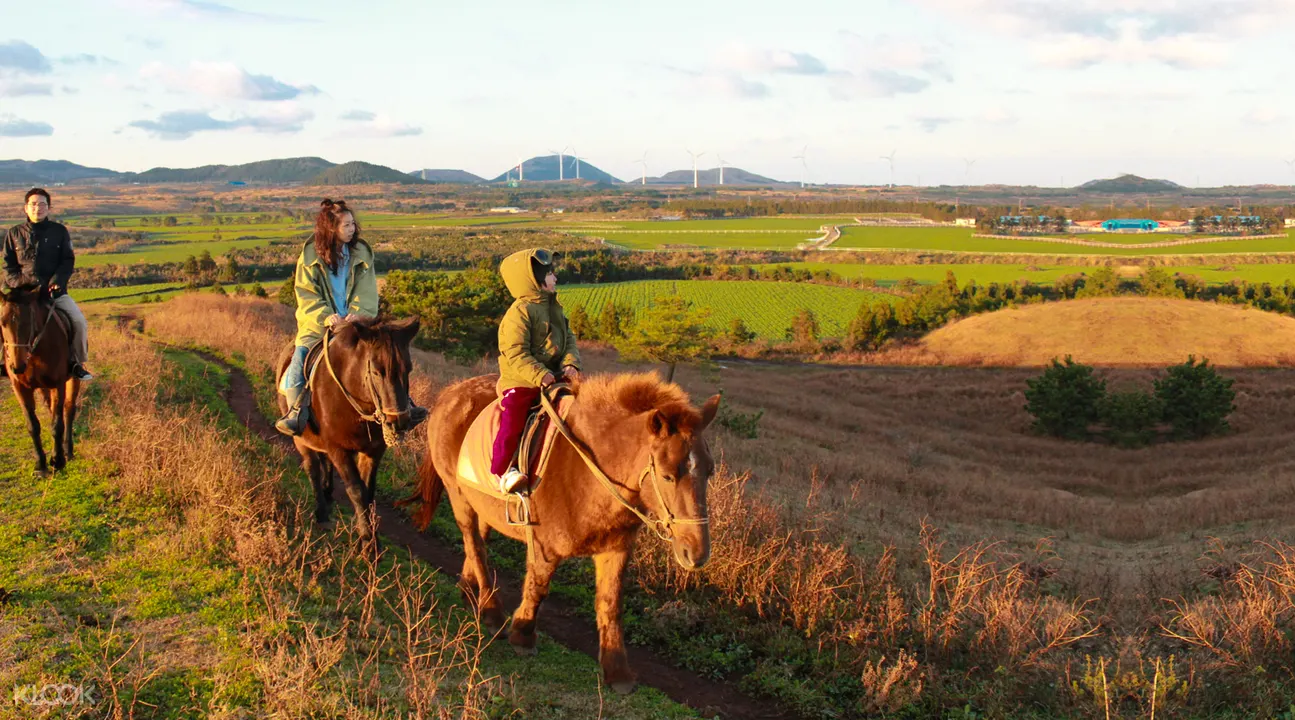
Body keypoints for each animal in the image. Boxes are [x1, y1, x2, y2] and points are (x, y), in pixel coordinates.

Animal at [0, 283, 81, 476]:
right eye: (2, 323)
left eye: (27, 322)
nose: (17, 366)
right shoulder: (20, 387)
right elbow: (32, 425)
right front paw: (40, 465)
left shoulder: (58, 384)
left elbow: (57, 423)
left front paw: (58, 461)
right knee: (50, 408)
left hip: (72, 379)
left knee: (68, 410)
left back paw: (67, 450)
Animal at [274, 317, 422, 552]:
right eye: (376, 371)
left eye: (408, 369)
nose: (398, 421)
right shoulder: (338, 448)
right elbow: (356, 490)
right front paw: (367, 542)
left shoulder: (373, 451)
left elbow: (368, 491)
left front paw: (371, 538)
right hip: (301, 440)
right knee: (312, 468)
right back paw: (322, 512)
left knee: (324, 464)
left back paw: (327, 495)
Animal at [405, 372, 720, 694]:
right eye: (667, 476)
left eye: (709, 471)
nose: (696, 553)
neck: (587, 471)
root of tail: (451, 393)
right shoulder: (545, 546)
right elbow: (538, 587)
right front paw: (523, 635)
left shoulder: (616, 550)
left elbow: (610, 605)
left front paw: (617, 671)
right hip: (458, 495)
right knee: (473, 543)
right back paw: (492, 611)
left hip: (480, 502)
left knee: (479, 540)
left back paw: (471, 592)